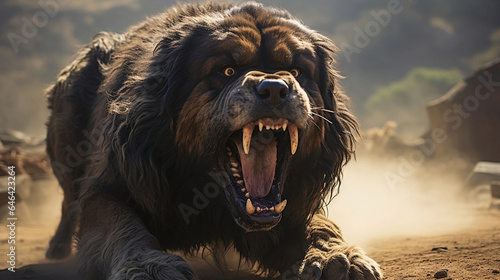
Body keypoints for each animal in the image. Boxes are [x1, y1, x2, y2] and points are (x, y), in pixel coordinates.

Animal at [47, 2, 382, 280]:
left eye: (297, 71)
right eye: (228, 70)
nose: (275, 88)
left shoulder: (292, 206)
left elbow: (319, 226)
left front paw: (335, 256)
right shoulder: (110, 187)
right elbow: (120, 226)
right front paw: (147, 266)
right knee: (67, 197)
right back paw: (58, 246)